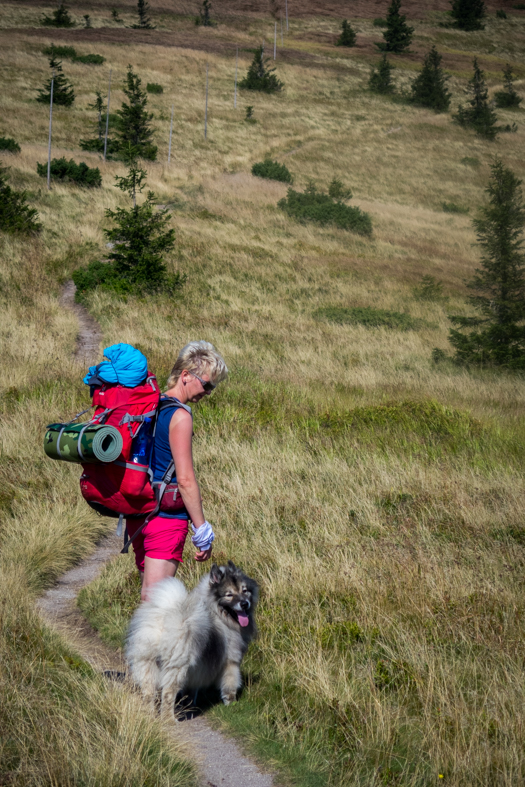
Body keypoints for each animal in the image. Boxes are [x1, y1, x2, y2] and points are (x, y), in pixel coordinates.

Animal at [125, 556, 260, 716]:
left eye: (245, 591)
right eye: (229, 594)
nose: (244, 604)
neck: (218, 613)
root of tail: (161, 621)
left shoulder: (199, 668)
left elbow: (192, 689)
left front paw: (189, 704)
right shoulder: (230, 661)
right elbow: (230, 685)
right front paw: (232, 705)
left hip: (146, 662)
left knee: (148, 692)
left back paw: (149, 714)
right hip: (177, 666)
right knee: (168, 693)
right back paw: (168, 718)